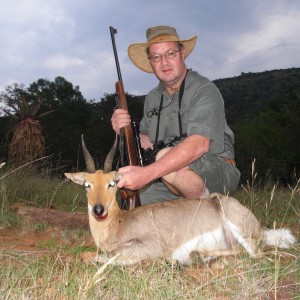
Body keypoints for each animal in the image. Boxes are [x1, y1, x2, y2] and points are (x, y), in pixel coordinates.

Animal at [64, 136, 296, 264]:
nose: (98, 210)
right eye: (87, 184)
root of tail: (260, 229)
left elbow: (102, 258)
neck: (118, 224)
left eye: (112, 183)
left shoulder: (150, 247)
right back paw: (199, 255)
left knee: (256, 255)